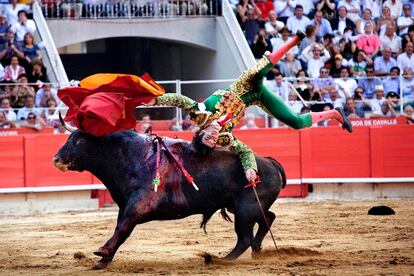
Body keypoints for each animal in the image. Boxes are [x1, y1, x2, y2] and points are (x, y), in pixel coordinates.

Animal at [52, 122, 284, 268]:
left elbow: (123, 228)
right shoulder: (126, 205)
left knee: (245, 237)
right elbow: (121, 229)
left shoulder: (138, 205)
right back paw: (256, 251)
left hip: (246, 210)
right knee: (268, 218)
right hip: (242, 207)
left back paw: (222, 259)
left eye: (79, 141)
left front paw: (102, 253)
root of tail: (269, 162)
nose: (56, 159)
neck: (132, 156)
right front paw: (104, 260)